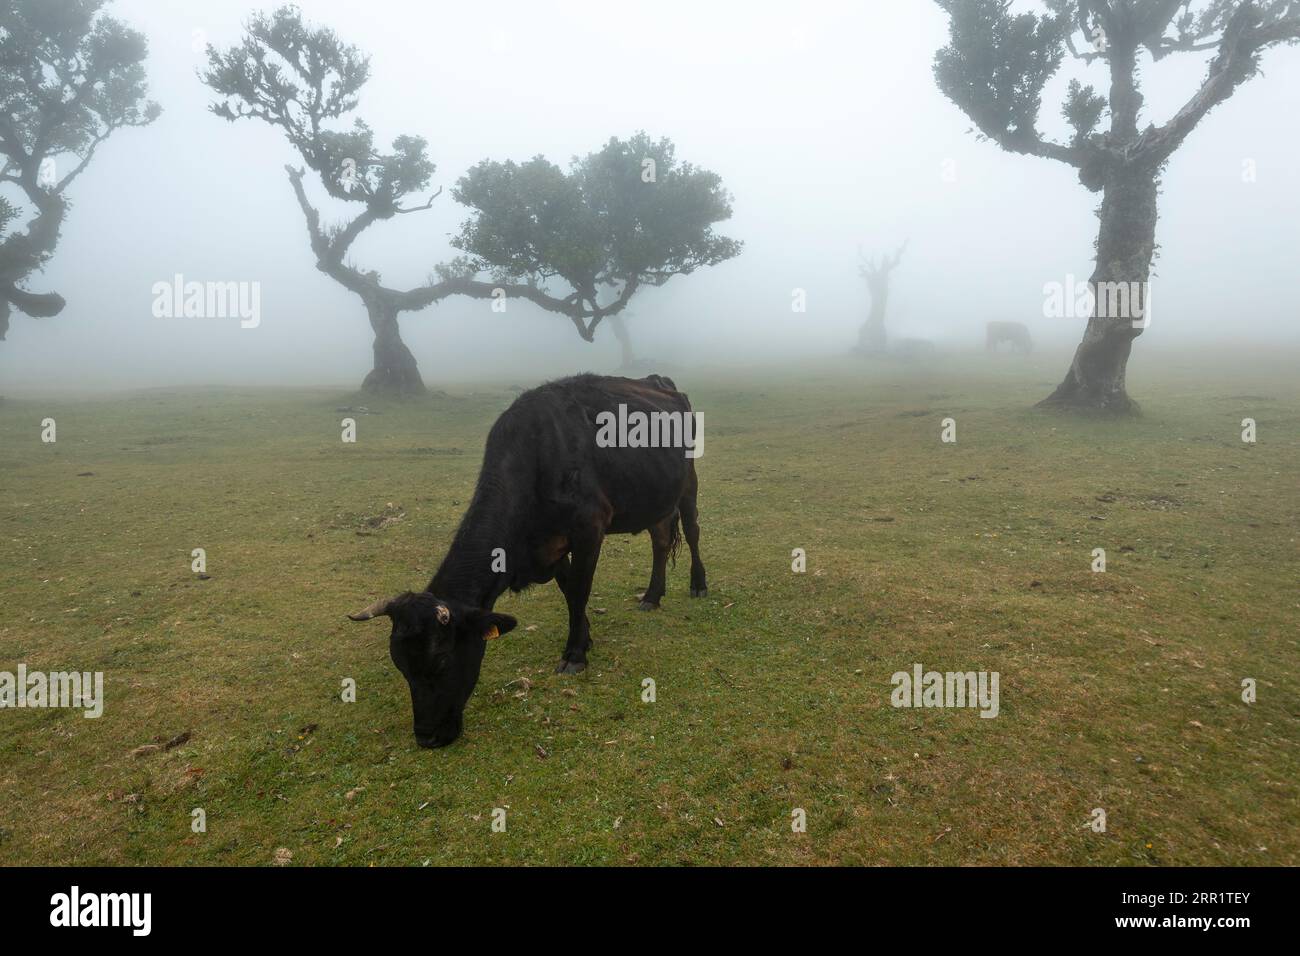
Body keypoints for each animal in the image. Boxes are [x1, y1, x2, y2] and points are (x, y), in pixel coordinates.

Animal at [351, 371, 707, 749]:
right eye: (401, 666)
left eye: (442, 661)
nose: (426, 736)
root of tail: (660, 382)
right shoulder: (550, 546)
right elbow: (570, 592)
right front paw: (584, 637)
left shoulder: (589, 528)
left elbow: (580, 592)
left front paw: (574, 654)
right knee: (661, 540)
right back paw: (652, 596)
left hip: (688, 479)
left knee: (692, 530)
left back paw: (698, 584)